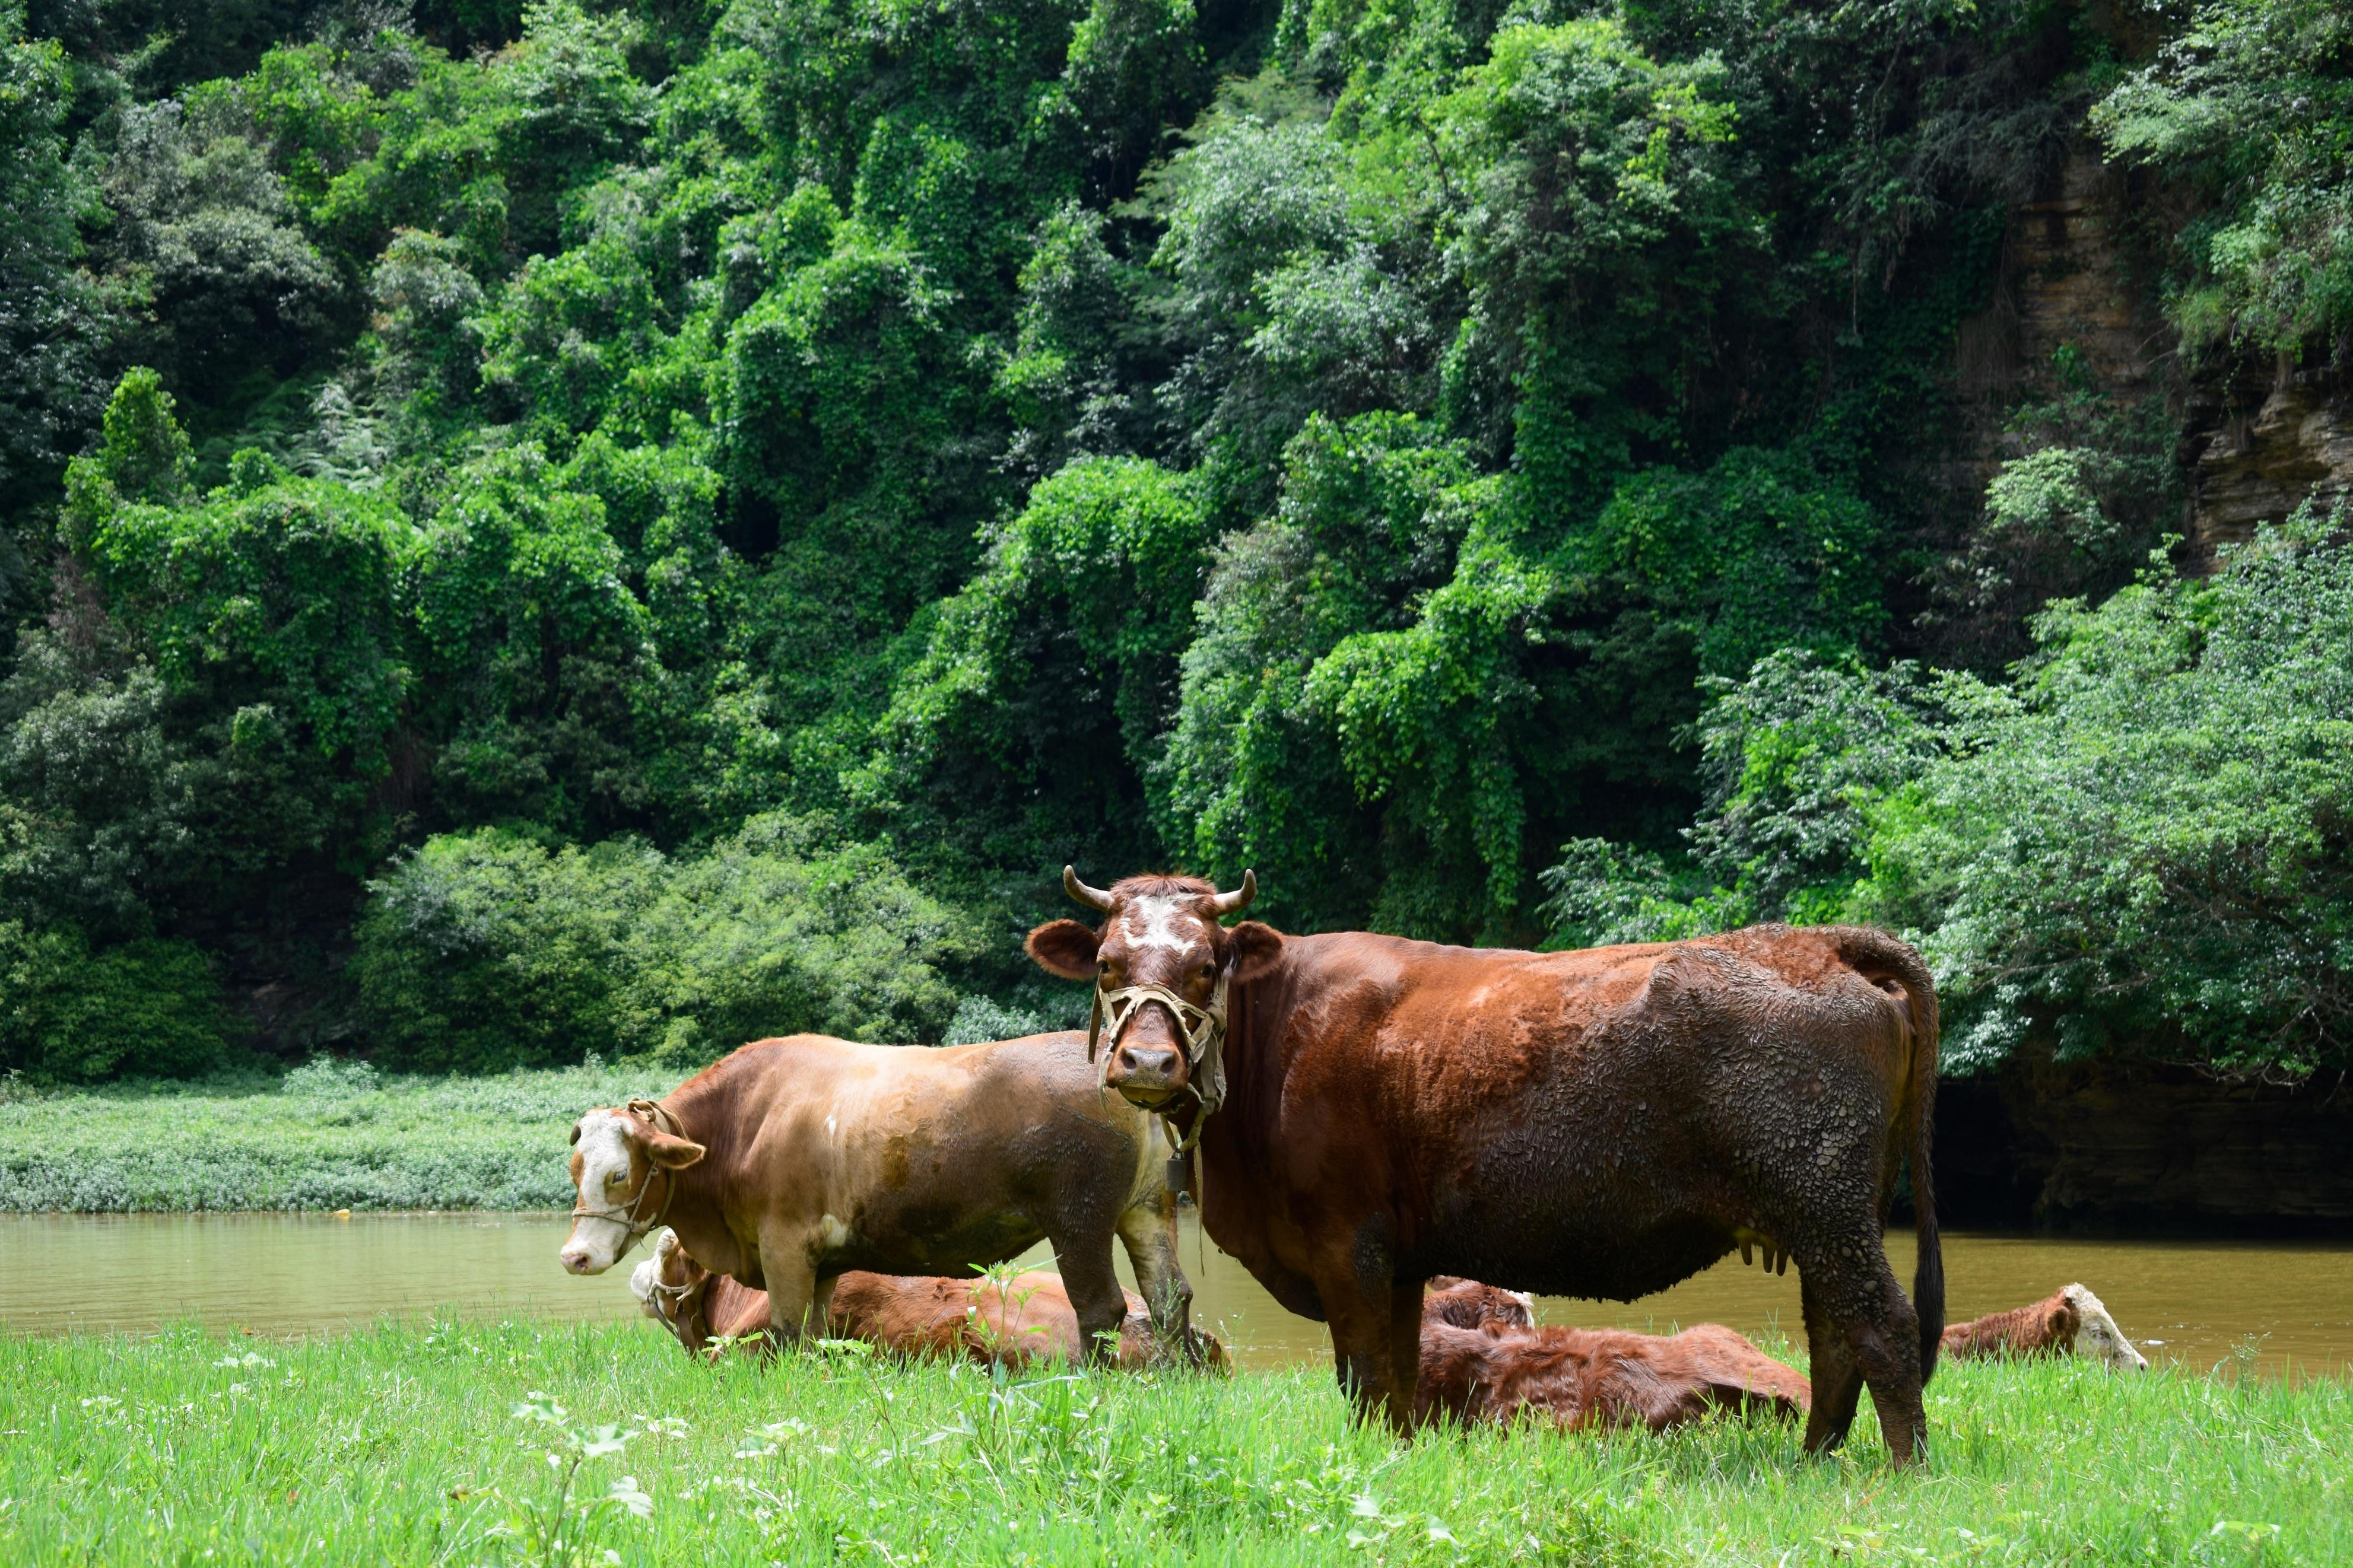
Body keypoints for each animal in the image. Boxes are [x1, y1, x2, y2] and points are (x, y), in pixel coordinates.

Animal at [560, 1029, 1205, 1363]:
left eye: (618, 1173)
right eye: (574, 1168)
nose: (573, 1257)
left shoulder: (783, 1244)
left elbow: (788, 1331)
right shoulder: (821, 1261)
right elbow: (813, 1333)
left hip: (1080, 1219)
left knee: (1101, 1308)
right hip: (1148, 1209)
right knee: (1169, 1296)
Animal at [1030, 865, 1948, 1467]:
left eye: (1203, 967)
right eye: (1108, 964)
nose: (1149, 1062)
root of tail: (1816, 941)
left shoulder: (1345, 1245)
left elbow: (1362, 1371)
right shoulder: (1401, 1260)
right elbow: (1398, 1372)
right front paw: (1400, 1459)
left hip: (1823, 1204)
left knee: (1882, 1327)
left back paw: (1900, 1474)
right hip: (1824, 1215)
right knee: (1834, 1336)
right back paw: (1815, 1459)